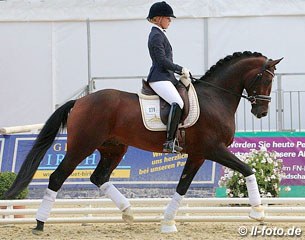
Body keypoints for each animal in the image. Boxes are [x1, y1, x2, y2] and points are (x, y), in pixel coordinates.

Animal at [4, 50, 280, 232]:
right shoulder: (213, 149)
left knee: (99, 177)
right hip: (81, 146)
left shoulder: (198, 154)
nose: (262, 112)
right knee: (57, 177)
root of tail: (80, 101)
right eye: (266, 79)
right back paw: (39, 223)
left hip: (113, 148)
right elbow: (248, 169)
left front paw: (167, 222)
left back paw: (128, 213)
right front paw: (258, 212)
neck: (215, 98)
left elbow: (182, 187)